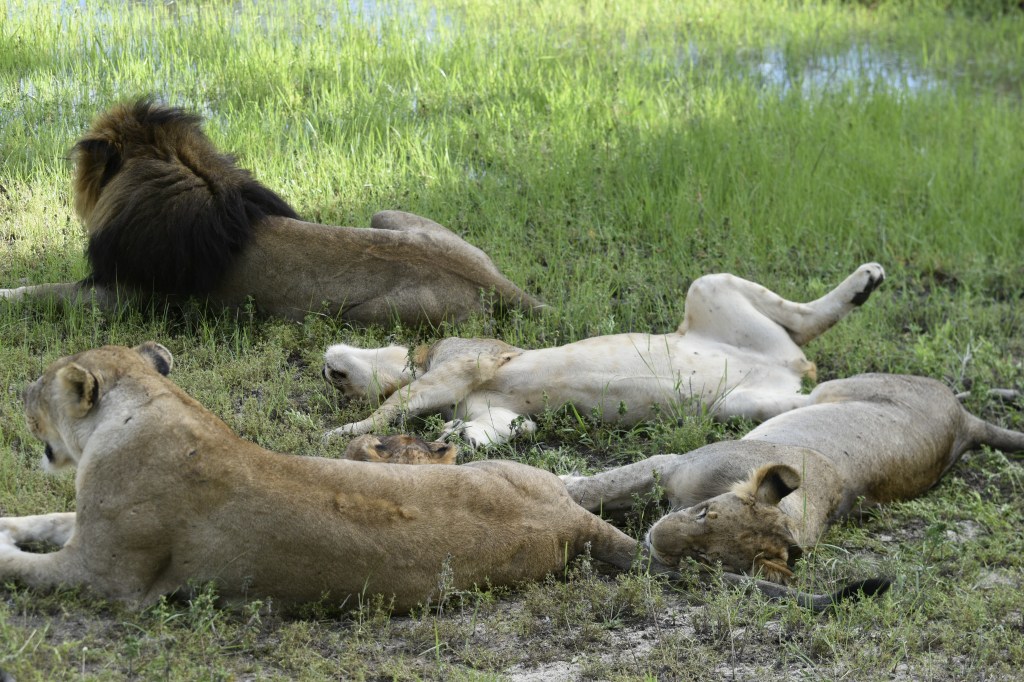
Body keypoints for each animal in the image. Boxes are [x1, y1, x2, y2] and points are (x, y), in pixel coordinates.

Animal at [0, 100, 544, 325]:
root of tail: (495, 281)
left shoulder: (124, 298)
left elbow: (42, 293)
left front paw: (9, 294)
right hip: (387, 213)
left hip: (366, 315)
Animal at [0, 343, 885, 612]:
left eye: (41, 387)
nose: (20, 396)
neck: (148, 410)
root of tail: (563, 525)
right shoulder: (84, 529)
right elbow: (39, 521)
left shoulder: (104, 577)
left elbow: (24, 565)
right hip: (525, 472)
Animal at [323, 263, 886, 445]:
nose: (327, 371)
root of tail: (785, 367)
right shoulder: (494, 411)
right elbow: (502, 429)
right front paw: (455, 437)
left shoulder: (468, 361)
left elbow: (393, 404)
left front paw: (340, 431)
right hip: (739, 402)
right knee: (810, 390)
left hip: (709, 287)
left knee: (808, 319)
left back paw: (865, 281)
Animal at [561, 374, 1024, 584]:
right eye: (704, 513)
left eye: (704, 559)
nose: (655, 540)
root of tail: (966, 424)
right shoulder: (669, 464)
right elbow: (599, 486)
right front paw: (562, 481)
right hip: (837, 387)